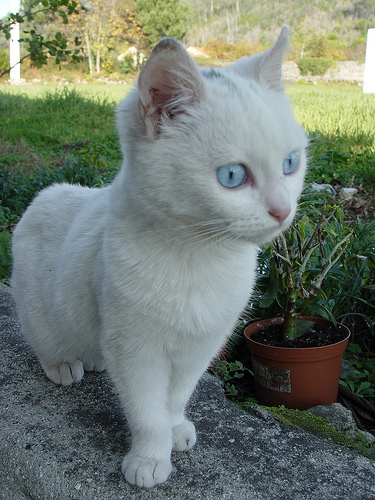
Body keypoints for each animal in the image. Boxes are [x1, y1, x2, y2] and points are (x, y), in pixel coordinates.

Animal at [11, 28, 308, 488]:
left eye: (291, 163)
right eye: (232, 176)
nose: (283, 210)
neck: (200, 257)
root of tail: (46, 193)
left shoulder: (202, 345)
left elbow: (176, 396)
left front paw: (175, 428)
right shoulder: (135, 349)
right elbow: (146, 408)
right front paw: (151, 457)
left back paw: (95, 360)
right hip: (42, 314)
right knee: (45, 340)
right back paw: (63, 367)